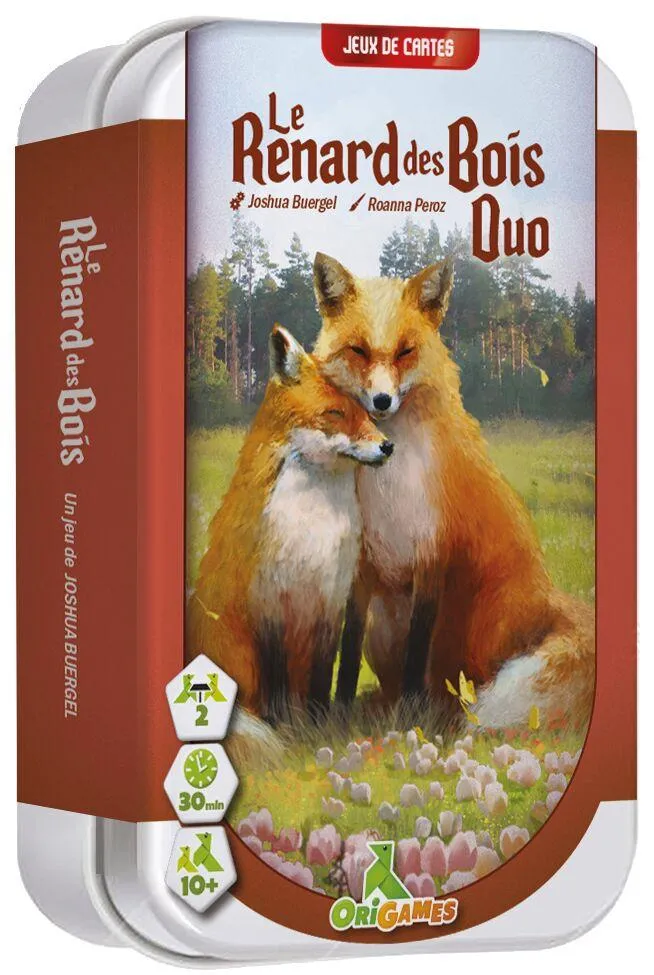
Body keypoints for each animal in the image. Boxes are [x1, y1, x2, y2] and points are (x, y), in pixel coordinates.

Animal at [186, 324, 393, 725]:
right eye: (334, 413)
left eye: (367, 413)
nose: (388, 446)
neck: (312, 527)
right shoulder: (268, 599)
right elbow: (276, 677)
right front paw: (280, 722)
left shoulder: (331, 599)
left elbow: (322, 675)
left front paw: (318, 723)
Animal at [312, 252, 595, 728]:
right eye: (359, 351)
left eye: (406, 351)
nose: (382, 401)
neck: (389, 486)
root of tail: (549, 599)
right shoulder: (362, 567)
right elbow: (347, 653)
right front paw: (337, 713)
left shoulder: (432, 558)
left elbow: (417, 652)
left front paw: (409, 718)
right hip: (383, 624)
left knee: (460, 683)